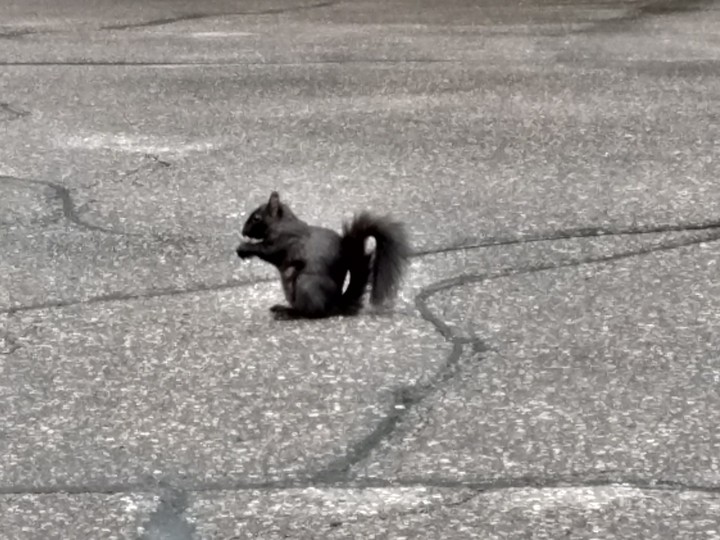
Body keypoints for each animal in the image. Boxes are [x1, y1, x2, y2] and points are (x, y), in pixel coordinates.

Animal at [235, 191, 410, 320]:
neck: (282, 223)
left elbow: (267, 251)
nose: (243, 231)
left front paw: (244, 248)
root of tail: (335, 305)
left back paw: (288, 313)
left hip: (306, 284)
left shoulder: (285, 241)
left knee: (312, 313)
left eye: (256, 218)